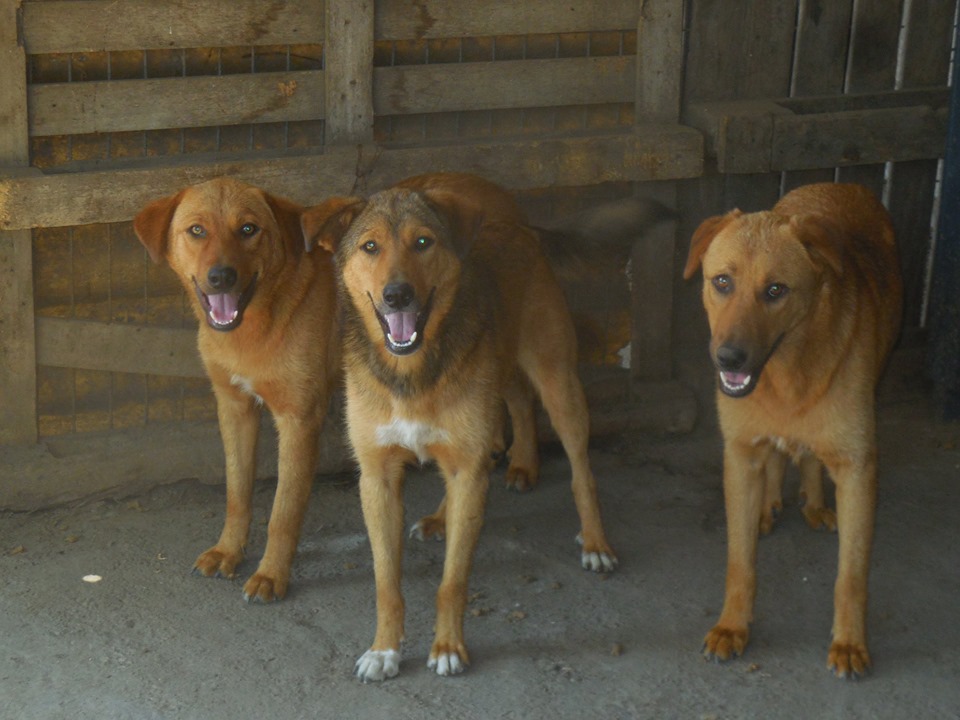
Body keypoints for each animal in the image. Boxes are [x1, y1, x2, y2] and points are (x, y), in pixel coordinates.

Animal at [133, 179, 344, 600]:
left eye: (248, 229)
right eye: (197, 230)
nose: (221, 277)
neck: (254, 331)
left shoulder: (300, 421)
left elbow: (283, 511)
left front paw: (271, 574)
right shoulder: (234, 408)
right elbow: (237, 492)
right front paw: (228, 551)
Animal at [308, 173, 624, 680]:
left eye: (423, 241)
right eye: (369, 246)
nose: (398, 295)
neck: (412, 370)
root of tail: (519, 226)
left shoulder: (467, 470)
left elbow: (452, 581)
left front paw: (448, 648)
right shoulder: (377, 477)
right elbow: (385, 580)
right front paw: (384, 648)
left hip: (559, 383)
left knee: (580, 468)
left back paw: (595, 540)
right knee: (511, 410)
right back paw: (461, 503)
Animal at [684, 183, 900, 676]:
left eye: (775, 290)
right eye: (721, 282)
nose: (727, 358)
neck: (786, 379)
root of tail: (838, 185)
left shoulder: (859, 468)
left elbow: (850, 576)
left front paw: (849, 642)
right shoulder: (740, 455)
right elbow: (740, 562)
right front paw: (733, 626)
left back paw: (814, 501)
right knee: (781, 458)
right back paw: (771, 504)